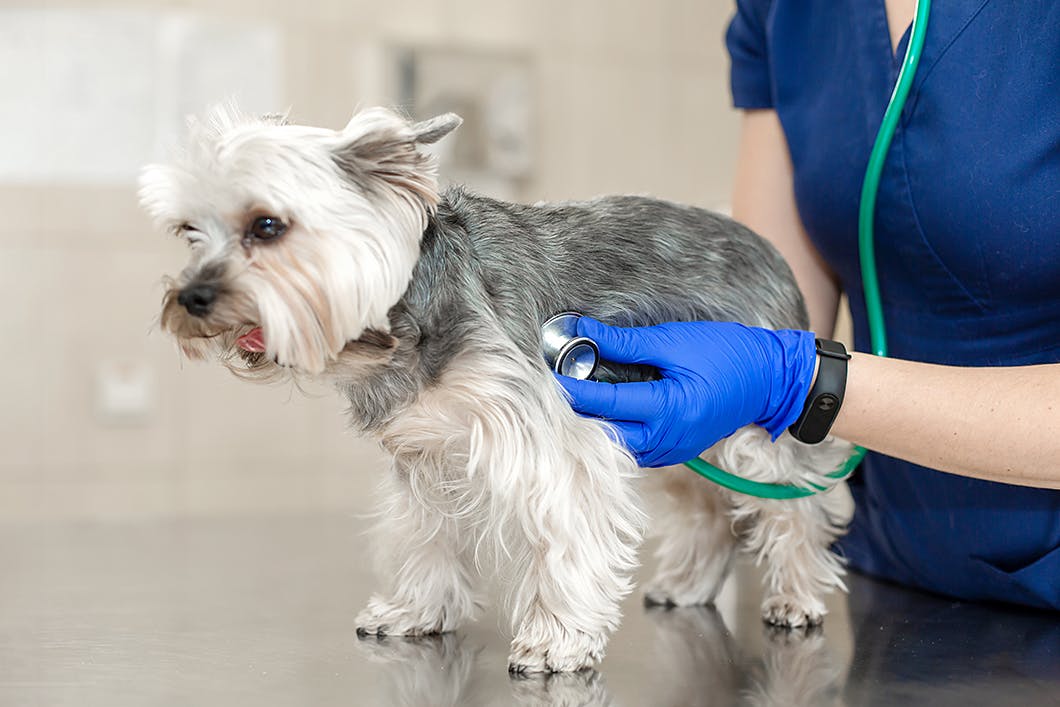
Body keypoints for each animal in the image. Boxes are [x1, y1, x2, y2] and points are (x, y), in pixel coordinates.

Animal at [138, 104, 852, 674]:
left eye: (266, 226)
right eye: (189, 232)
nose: (191, 299)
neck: (399, 317)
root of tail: (764, 246)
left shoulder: (553, 445)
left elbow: (564, 538)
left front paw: (557, 641)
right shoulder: (426, 452)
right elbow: (422, 534)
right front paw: (416, 609)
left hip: (749, 425)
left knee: (794, 503)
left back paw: (796, 594)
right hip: (686, 422)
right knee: (708, 508)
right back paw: (688, 583)